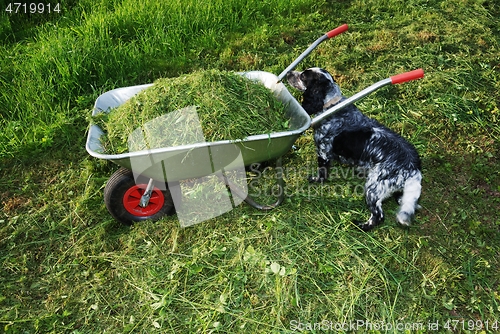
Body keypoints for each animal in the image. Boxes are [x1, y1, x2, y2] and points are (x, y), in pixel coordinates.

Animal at [286, 67, 422, 230]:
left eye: (303, 76)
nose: (288, 73)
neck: (332, 106)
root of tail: (413, 168)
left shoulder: (323, 152)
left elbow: (322, 173)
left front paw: (316, 180)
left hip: (373, 188)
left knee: (378, 215)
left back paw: (361, 226)